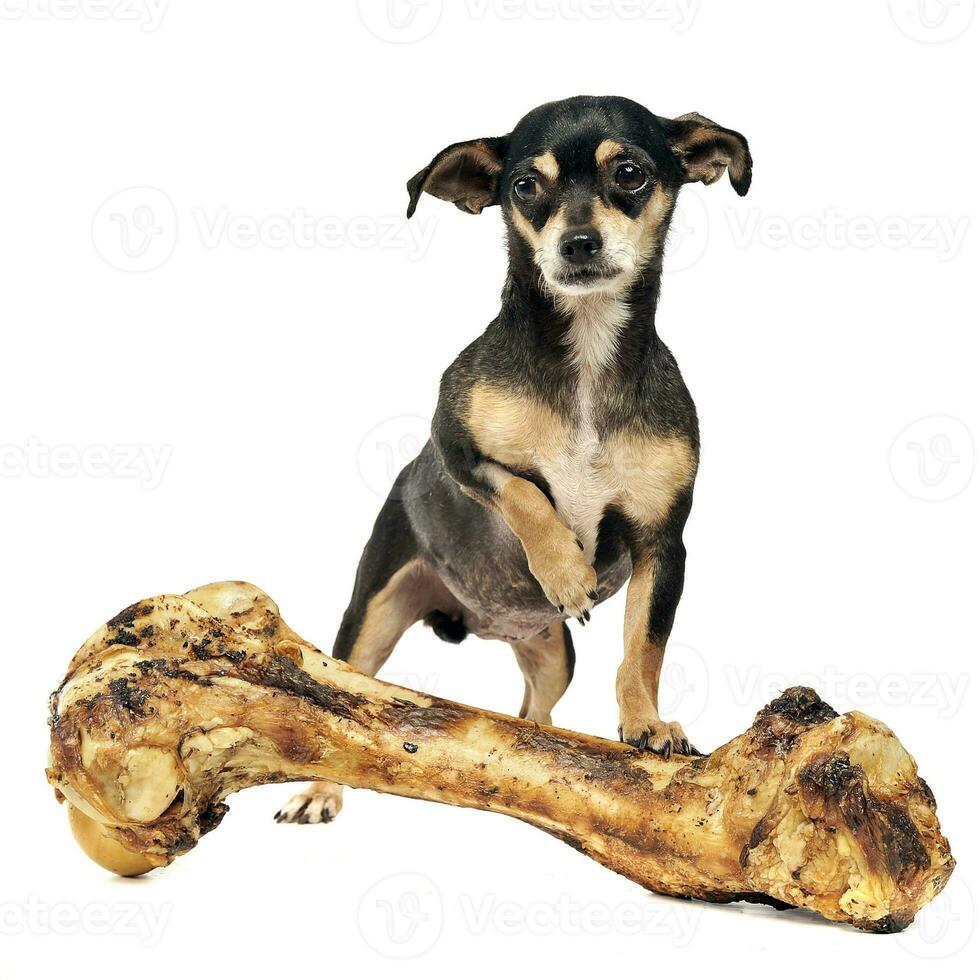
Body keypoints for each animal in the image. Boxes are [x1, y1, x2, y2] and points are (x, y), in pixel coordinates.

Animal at [276, 95, 752, 824]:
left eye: (631, 173)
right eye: (525, 186)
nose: (578, 243)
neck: (586, 356)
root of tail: (475, 621)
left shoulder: (661, 545)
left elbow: (642, 649)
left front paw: (645, 723)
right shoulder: (456, 445)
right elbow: (524, 492)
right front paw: (564, 571)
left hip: (552, 655)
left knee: (533, 719)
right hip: (371, 619)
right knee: (346, 704)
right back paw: (317, 793)